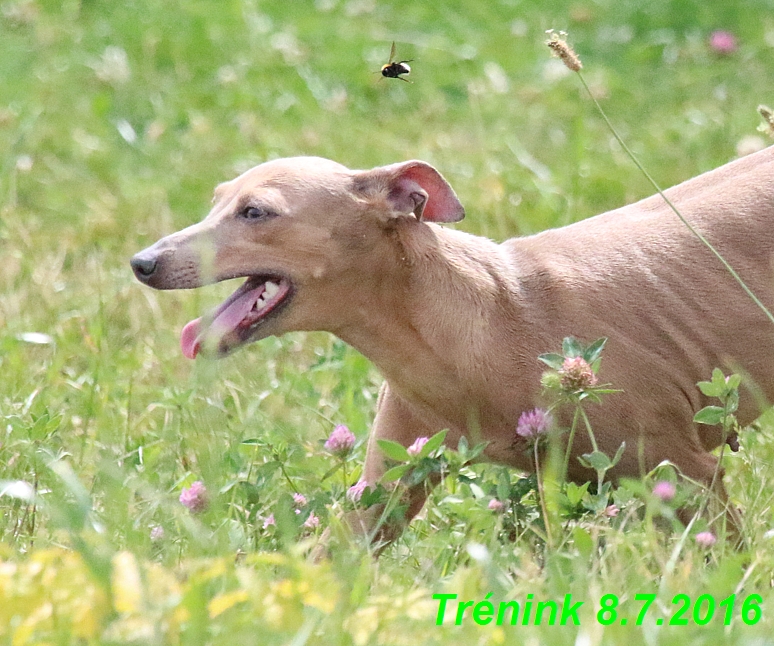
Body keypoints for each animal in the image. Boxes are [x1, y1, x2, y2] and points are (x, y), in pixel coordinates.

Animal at [130, 149, 774, 540]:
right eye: (217, 198)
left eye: (255, 211)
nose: (142, 263)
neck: (481, 320)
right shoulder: (390, 478)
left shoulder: (685, 472)